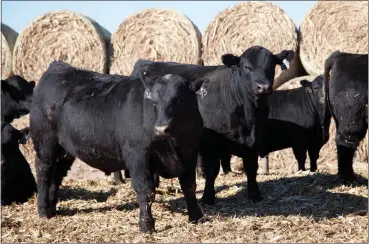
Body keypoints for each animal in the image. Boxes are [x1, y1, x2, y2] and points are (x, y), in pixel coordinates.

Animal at [30, 61, 206, 233]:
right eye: (154, 103)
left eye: (179, 100)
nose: (161, 129)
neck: (174, 144)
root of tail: (58, 66)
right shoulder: (138, 156)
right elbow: (146, 191)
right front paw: (146, 225)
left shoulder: (190, 153)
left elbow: (189, 187)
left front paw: (196, 216)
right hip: (45, 143)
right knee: (44, 171)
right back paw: (43, 210)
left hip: (65, 151)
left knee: (57, 175)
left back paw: (52, 209)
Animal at [123, 46, 294, 204]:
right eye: (246, 67)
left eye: (271, 65)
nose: (263, 87)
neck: (247, 113)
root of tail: (145, 64)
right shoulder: (210, 142)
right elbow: (212, 170)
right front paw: (207, 197)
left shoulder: (254, 140)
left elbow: (251, 168)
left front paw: (254, 195)